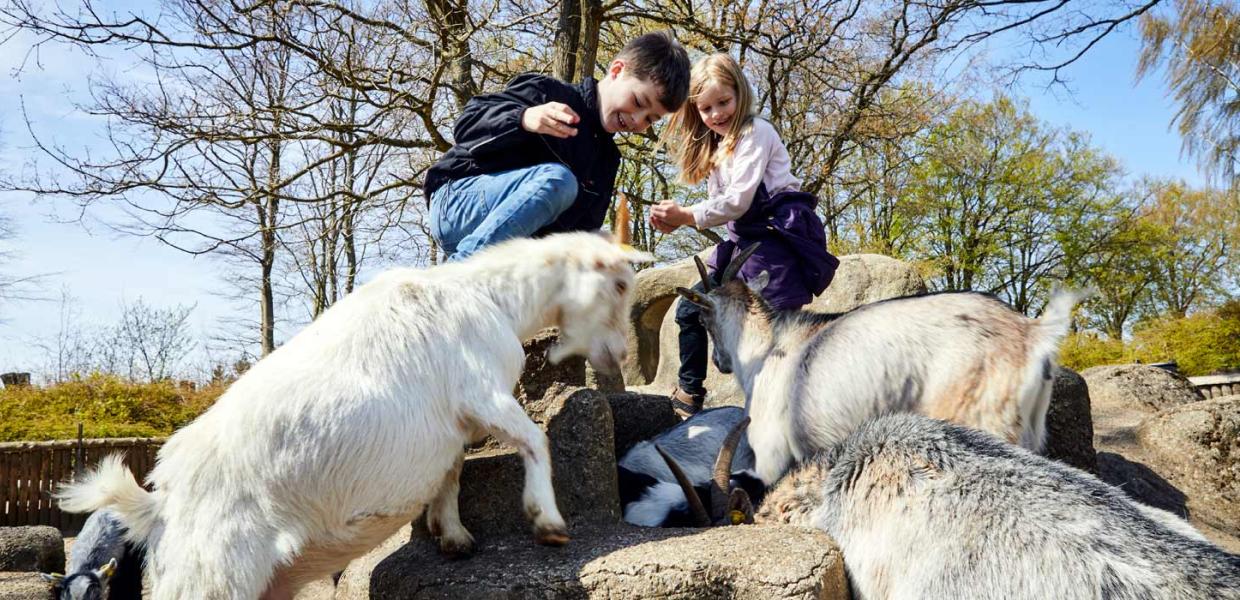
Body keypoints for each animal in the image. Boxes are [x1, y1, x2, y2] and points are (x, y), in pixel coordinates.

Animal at [55, 233, 659, 600]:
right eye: (619, 284)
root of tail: (158, 505)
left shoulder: (452, 425)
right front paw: (548, 522)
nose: (617, 358)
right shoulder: (482, 392)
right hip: (214, 576)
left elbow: (450, 473)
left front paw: (453, 537)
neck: (491, 298)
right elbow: (535, 439)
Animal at [679, 246, 1086, 485]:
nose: (720, 363)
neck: (767, 348)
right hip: (1029, 431)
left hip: (985, 421)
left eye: (703, 319)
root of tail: (1031, 333)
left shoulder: (770, 454)